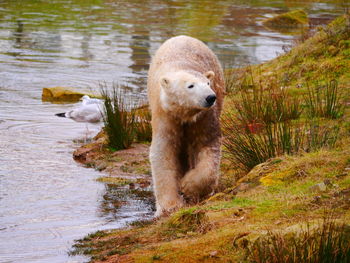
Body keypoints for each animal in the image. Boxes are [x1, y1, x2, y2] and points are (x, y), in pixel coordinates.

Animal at [147, 35, 224, 217]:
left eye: (208, 83)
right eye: (191, 85)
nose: (211, 97)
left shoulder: (204, 117)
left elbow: (207, 145)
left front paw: (187, 186)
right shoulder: (165, 115)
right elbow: (164, 152)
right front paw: (170, 206)